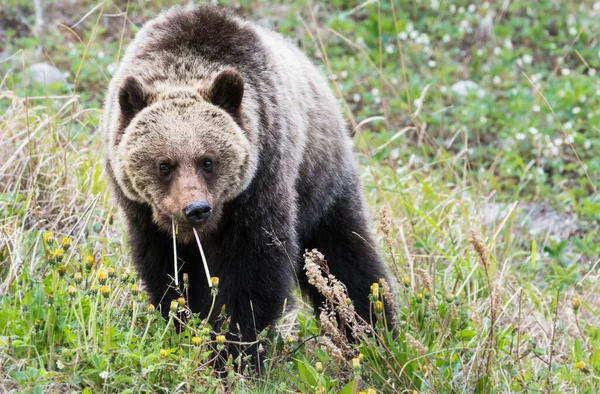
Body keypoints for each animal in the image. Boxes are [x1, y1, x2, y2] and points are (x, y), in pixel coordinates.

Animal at [103, 3, 394, 364]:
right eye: (164, 165)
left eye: (208, 160)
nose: (196, 209)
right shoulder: (144, 213)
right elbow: (167, 271)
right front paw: (182, 322)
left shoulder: (260, 183)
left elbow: (252, 274)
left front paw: (233, 349)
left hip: (319, 181)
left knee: (345, 259)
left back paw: (372, 331)